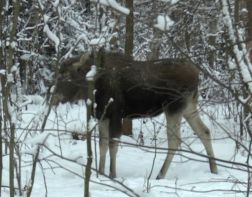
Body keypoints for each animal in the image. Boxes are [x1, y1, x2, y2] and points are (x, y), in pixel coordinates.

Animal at [52, 48, 218, 179]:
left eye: (66, 76)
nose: (53, 97)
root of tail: (197, 74)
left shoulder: (115, 115)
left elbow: (113, 145)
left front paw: (112, 175)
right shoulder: (102, 117)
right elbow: (102, 145)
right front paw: (100, 173)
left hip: (173, 107)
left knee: (175, 141)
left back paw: (160, 175)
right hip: (189, 106)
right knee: (204, 131)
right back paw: (214, 169)